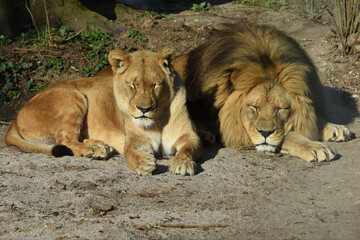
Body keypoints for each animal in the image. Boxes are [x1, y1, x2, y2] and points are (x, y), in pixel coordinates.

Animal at [4, 47, 202, 174]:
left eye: (156, 85)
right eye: (132, 85)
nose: (144, 109)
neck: (158, 119)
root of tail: (15, 117)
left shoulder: (189, 136)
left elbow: (188, 148)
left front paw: (183, 163)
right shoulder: (135, 140)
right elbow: (130, 153)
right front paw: (143, 163)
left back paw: (99, 145)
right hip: (72, 96)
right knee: (65, 140)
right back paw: (94, 150)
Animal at [173, 23, 350, 162]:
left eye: (280, 108)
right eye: (253, 107)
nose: (265, 133)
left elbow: (310, 117)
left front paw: (334, 128)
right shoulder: (236, 130)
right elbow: (288, 136)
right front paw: (315, 147)